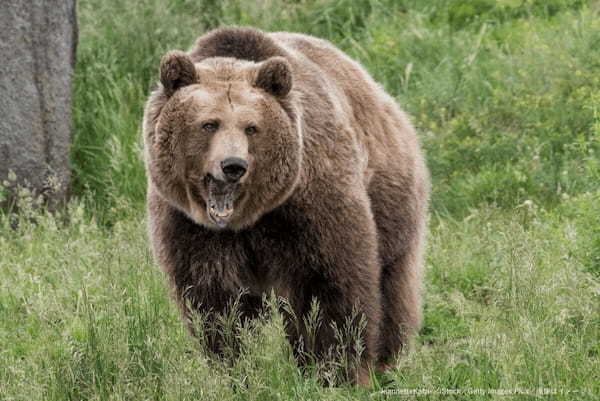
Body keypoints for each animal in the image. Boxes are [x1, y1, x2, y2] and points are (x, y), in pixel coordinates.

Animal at [143, 25, 428, 384]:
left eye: (251, 127)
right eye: (209, 123)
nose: (233, 165)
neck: (249, 219)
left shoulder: (309, 203)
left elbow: (329, 286)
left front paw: (336, 370)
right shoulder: (189, 226)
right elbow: (216, 302)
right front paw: (234, 367)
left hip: (390, 196)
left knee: (392, 283)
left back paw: (387, 360)